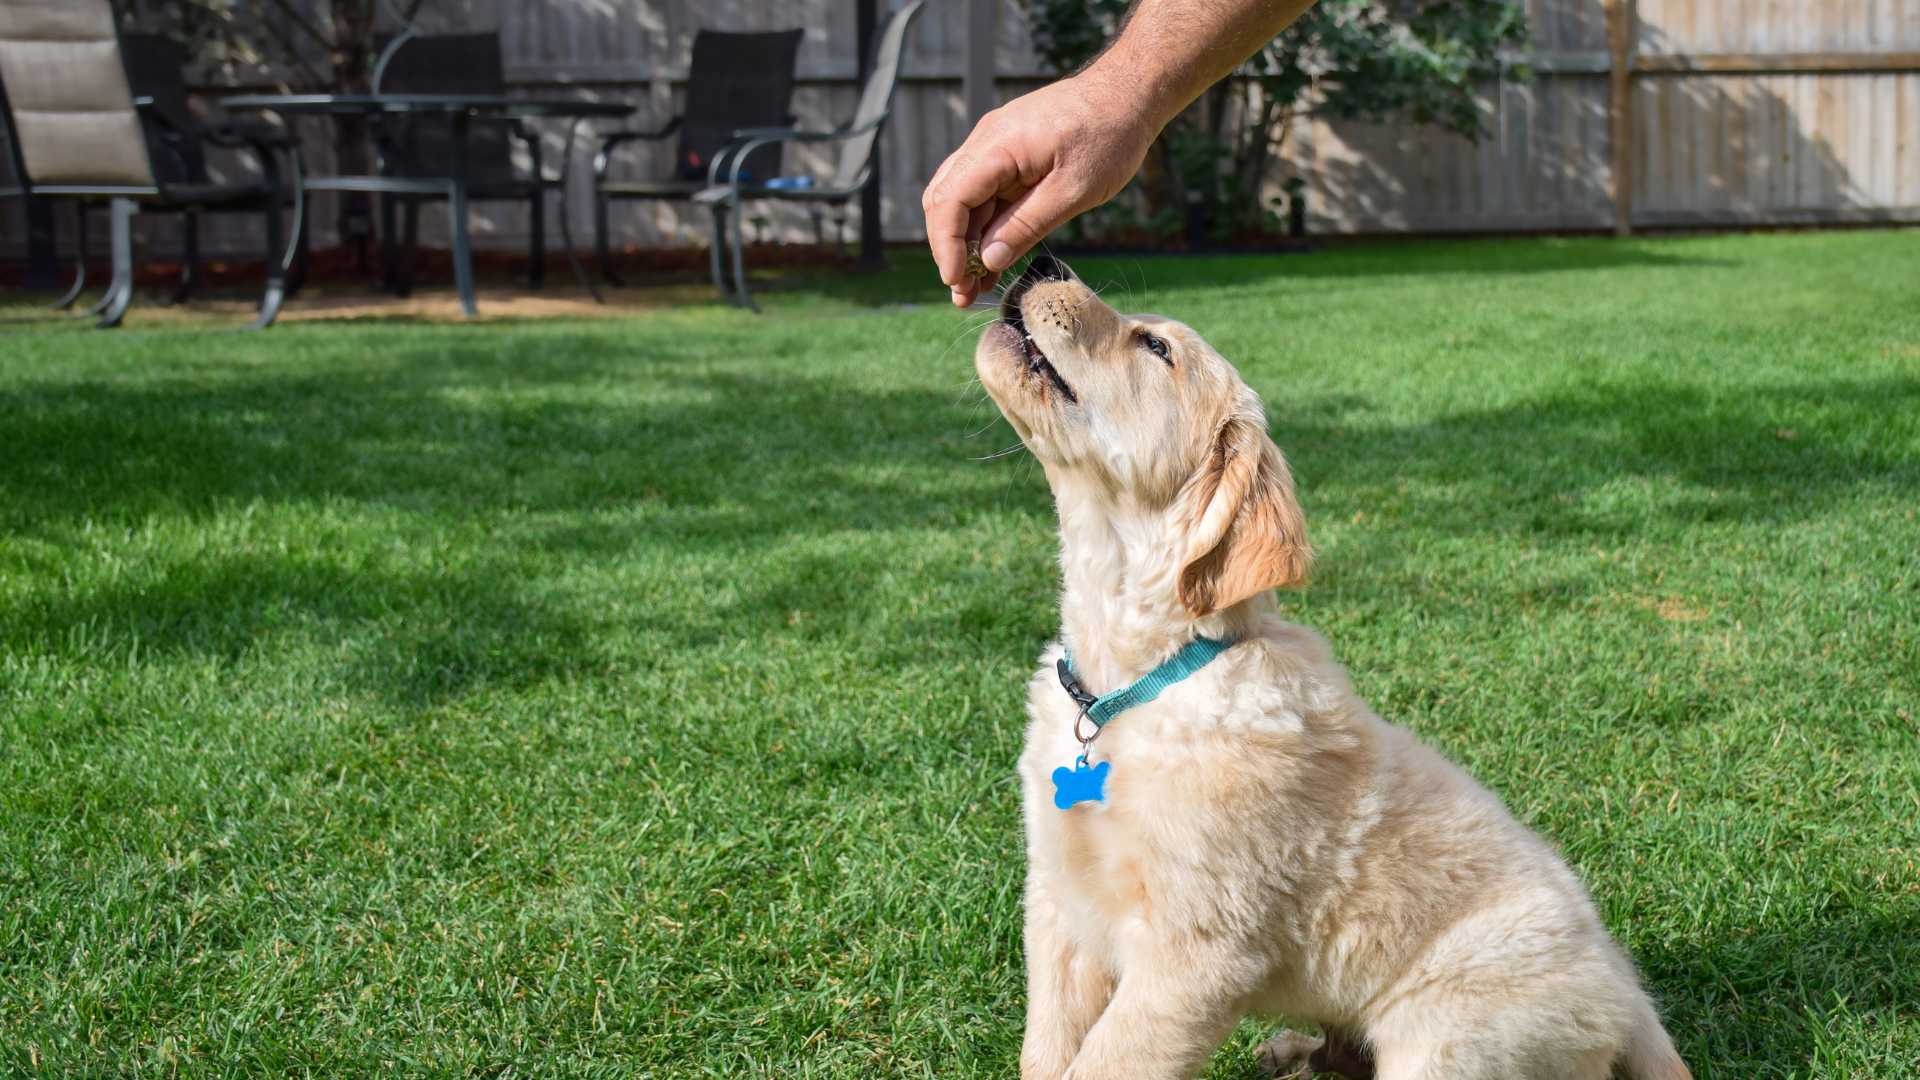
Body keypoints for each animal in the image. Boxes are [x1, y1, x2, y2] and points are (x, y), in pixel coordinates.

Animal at [967, 253, 1689, 1076]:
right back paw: (1291, 1051)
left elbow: (1106, 1060)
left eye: (1156, 348)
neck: (1130, 684)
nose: (1042, 260)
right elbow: (1048, 1047)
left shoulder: (1197, 951)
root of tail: (1629, 997)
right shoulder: (1059, 904)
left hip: (1449, 1037)